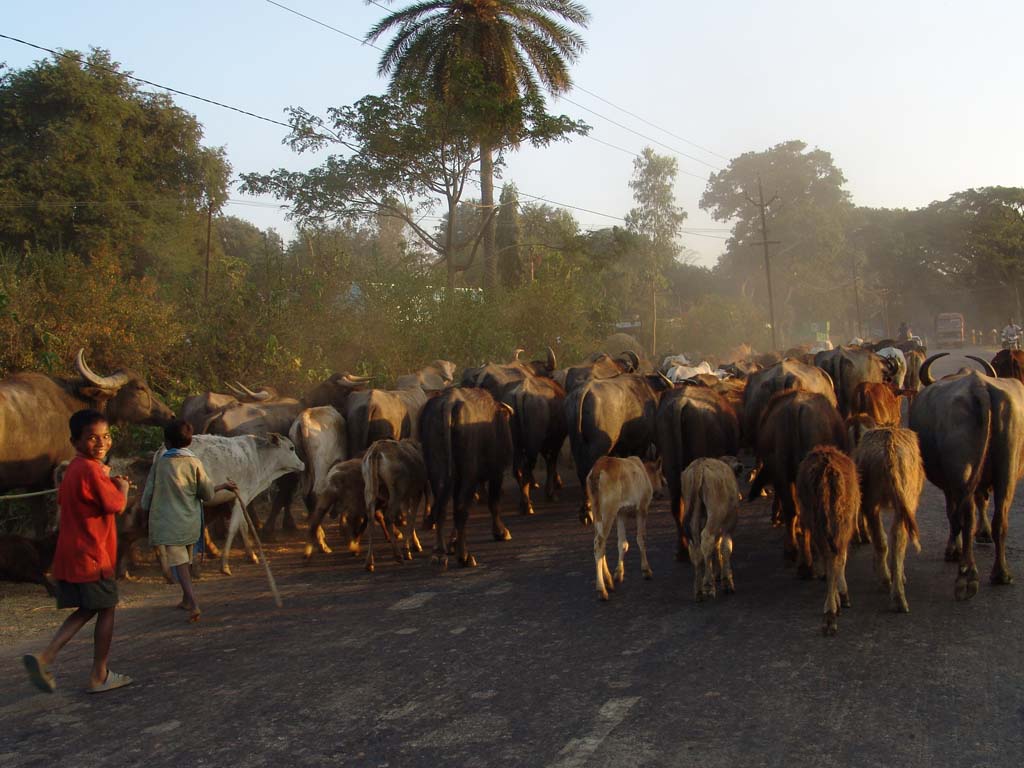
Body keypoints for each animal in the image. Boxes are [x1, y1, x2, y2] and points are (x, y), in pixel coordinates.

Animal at [362, 438, 430, 573]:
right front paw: (411, 548)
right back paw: (398, 556)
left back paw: (369, 563)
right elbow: (412, 518)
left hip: (369, 490)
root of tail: (376, 451)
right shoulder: (416, 493)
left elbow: (408, 515)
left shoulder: (407, 497)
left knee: (371, 520)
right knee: (388, 517)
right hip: (397, 492)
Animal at [585, 456, 663, 602]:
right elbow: (641, 539)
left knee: (600, 542)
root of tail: (597, 471)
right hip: (609, 509)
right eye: (661, 474)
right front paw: (646, 570)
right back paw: (602, 589)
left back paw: (609, 581)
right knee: (599, 543)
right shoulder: (642, 509)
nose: (660, 494)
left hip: (597, 510)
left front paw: (619, 573)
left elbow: (622, 543)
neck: (644, 472)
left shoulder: (621, 513)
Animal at [679, 456, 745, 602]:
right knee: (707, 539)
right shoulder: (727, 527)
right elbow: (725, 548)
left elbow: (716, 548)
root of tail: (700, 464)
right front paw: (727, 582)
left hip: (693, 515)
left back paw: (698, 591)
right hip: (715, 513)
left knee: (696, 548)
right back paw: (708, 586)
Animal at [794, 444, 860, 638]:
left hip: (819, 522)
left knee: (829, 556)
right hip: (838, 522)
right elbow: (841, 560)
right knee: (833, 559)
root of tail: (827, 469)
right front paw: (843, 597)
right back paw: (830, 615)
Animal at [851, 428, 925, 614]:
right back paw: (896, 594)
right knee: (897, 539)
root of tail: (889, 450)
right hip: (904, 496)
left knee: (883, 539)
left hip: (872, 500)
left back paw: (888, 583)